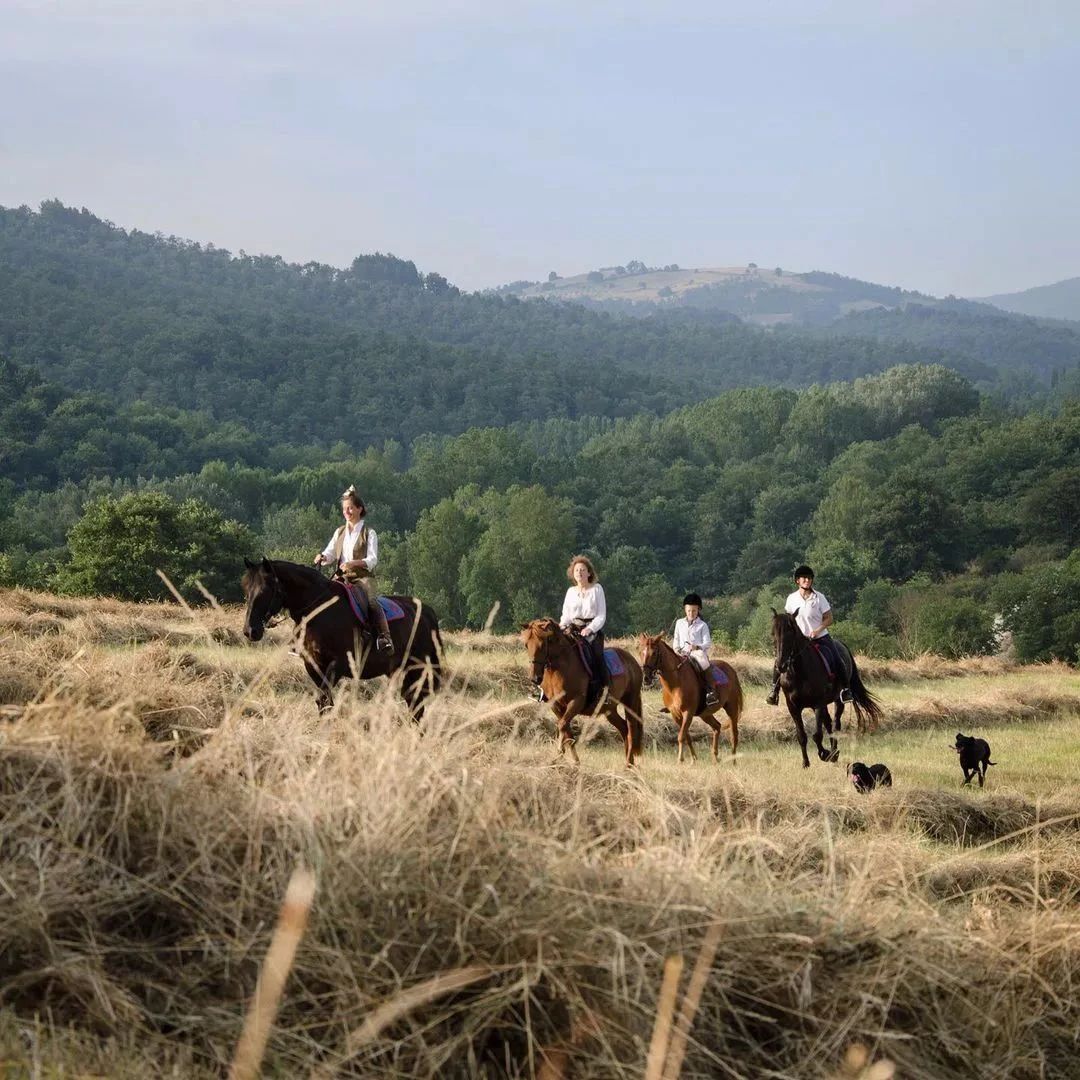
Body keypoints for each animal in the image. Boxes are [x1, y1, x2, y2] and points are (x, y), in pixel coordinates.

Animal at [244, 557, 442, 717]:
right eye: (246, 590)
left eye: (264, 590)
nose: (250, 631)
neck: (321, 609)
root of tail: (427, 611)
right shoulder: (313, 664)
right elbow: (324, 702)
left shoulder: (339, 664)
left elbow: (323, 699)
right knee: (413, 703)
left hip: (417, 668)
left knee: (416, 705)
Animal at [520, 617, 639, 768]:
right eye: (526, 645)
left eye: (542, 645)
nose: (535, 678)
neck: (559, 669)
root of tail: (632, 660)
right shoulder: (556, 705)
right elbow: (566, 729)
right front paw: (574, 761)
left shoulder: (576, 701)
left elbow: (562, 725)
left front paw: (559, 752)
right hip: (610, 710)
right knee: (624, 728)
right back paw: (629, 764)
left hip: (631, 702)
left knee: (631, 729)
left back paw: (629, 764)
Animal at [639, 635, 743, 764]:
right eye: (640, 652)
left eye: (654, 653)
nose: (646, 678)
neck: (675, 683)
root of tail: (731, 669)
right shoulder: (675, 714)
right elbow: (686, 736)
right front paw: (694, 759)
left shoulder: (688, 713)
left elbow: (681, 736)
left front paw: (680, 759)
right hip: (705, 714)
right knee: (717, 727)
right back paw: (715, 757)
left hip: (731, 708)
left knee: (734, 735)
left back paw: (733, 761)